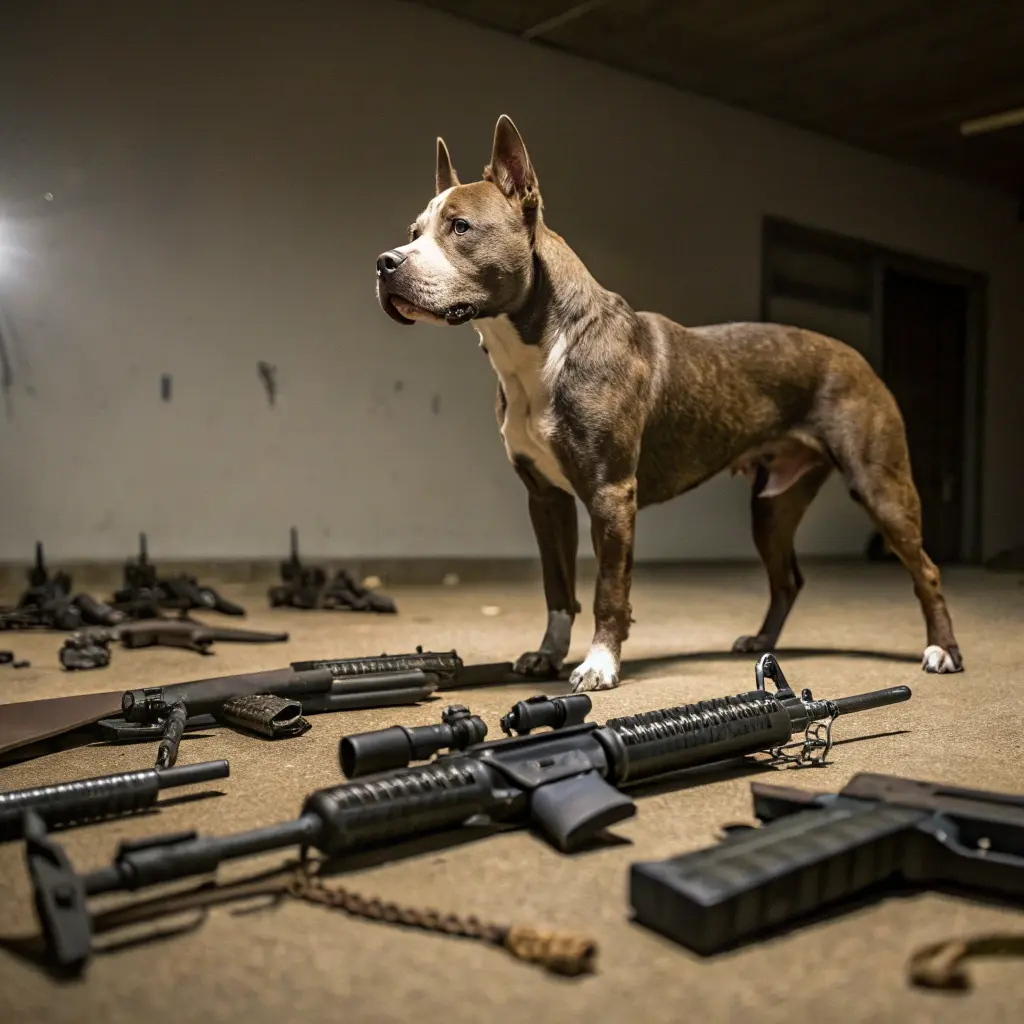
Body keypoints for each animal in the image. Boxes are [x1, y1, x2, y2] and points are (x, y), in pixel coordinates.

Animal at [374, 116, 958, 692]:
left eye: (461, 227)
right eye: (413, 233)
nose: (384, 263)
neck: (540, 349)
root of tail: (859, 358)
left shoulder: (611, 494)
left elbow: (609, 590)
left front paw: (600, 664)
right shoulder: (545, 498)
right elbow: (558, 589)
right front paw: (548, 655)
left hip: (879, 486)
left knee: (925, 570)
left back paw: (942, 651)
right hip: (773, 505)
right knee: (788, 579)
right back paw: (762, 642)